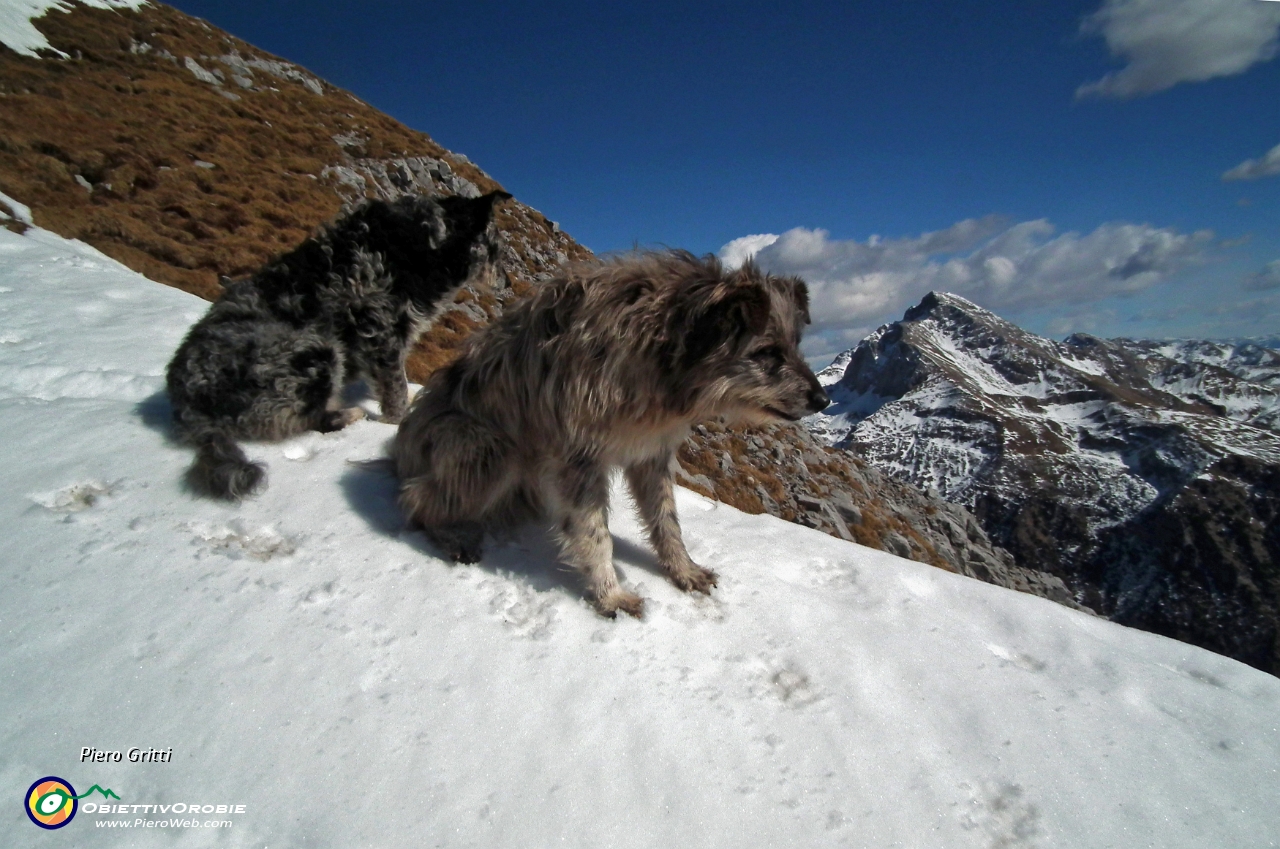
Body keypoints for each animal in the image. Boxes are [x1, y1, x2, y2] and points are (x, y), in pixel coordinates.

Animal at [167, 190, 506, 499]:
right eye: (496, 248)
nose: (502, 281)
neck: (425, 246)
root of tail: (186, 399)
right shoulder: (381, 332)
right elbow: (394, 389)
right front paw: (396, 422)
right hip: (314, 351)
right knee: (305, 421)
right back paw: (347, 415)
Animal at [391, 249, 829, 614]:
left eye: (796, 345)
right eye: (767, 352)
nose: (822, 400)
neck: (662, 351)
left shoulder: (652, 454)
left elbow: (667, 522)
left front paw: (683, 571)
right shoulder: (579, 458)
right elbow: (594, 531)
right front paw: (609, 594)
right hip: (487, 447)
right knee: (416, 498)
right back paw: (452, 535)